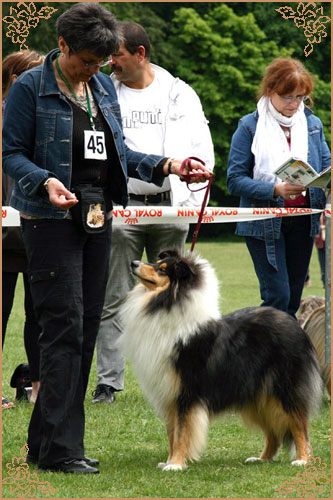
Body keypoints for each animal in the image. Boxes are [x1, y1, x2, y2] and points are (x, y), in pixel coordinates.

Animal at [118, 248, 322, 470]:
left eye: (162, 269)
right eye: (156, 262)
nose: (133, 263)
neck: (168, 302)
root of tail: (296, 325)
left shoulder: (186, 392)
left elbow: (181, 432)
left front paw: (176, 464)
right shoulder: (169, 393)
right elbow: (172, 433)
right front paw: (169, 462)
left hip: (283, 390)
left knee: (299, 425)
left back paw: (302, 460)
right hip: (257, 397)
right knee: (273, 432)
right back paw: (262, 458)